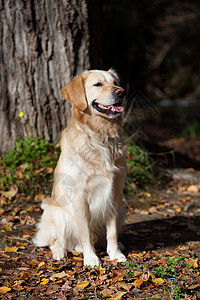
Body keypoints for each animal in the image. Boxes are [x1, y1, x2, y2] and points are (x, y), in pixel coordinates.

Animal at [32, 69, 126, 266]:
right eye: (97, 84)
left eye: (115, 83)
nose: (121, 92)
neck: (100, 137)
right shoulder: (79, 196)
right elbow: (85, 232)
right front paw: (91, 258)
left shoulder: (115, 193)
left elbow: (112, 231)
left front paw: (115, 254)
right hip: (55, 212)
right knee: (55, 240)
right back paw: (60, 252)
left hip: (122, 209)